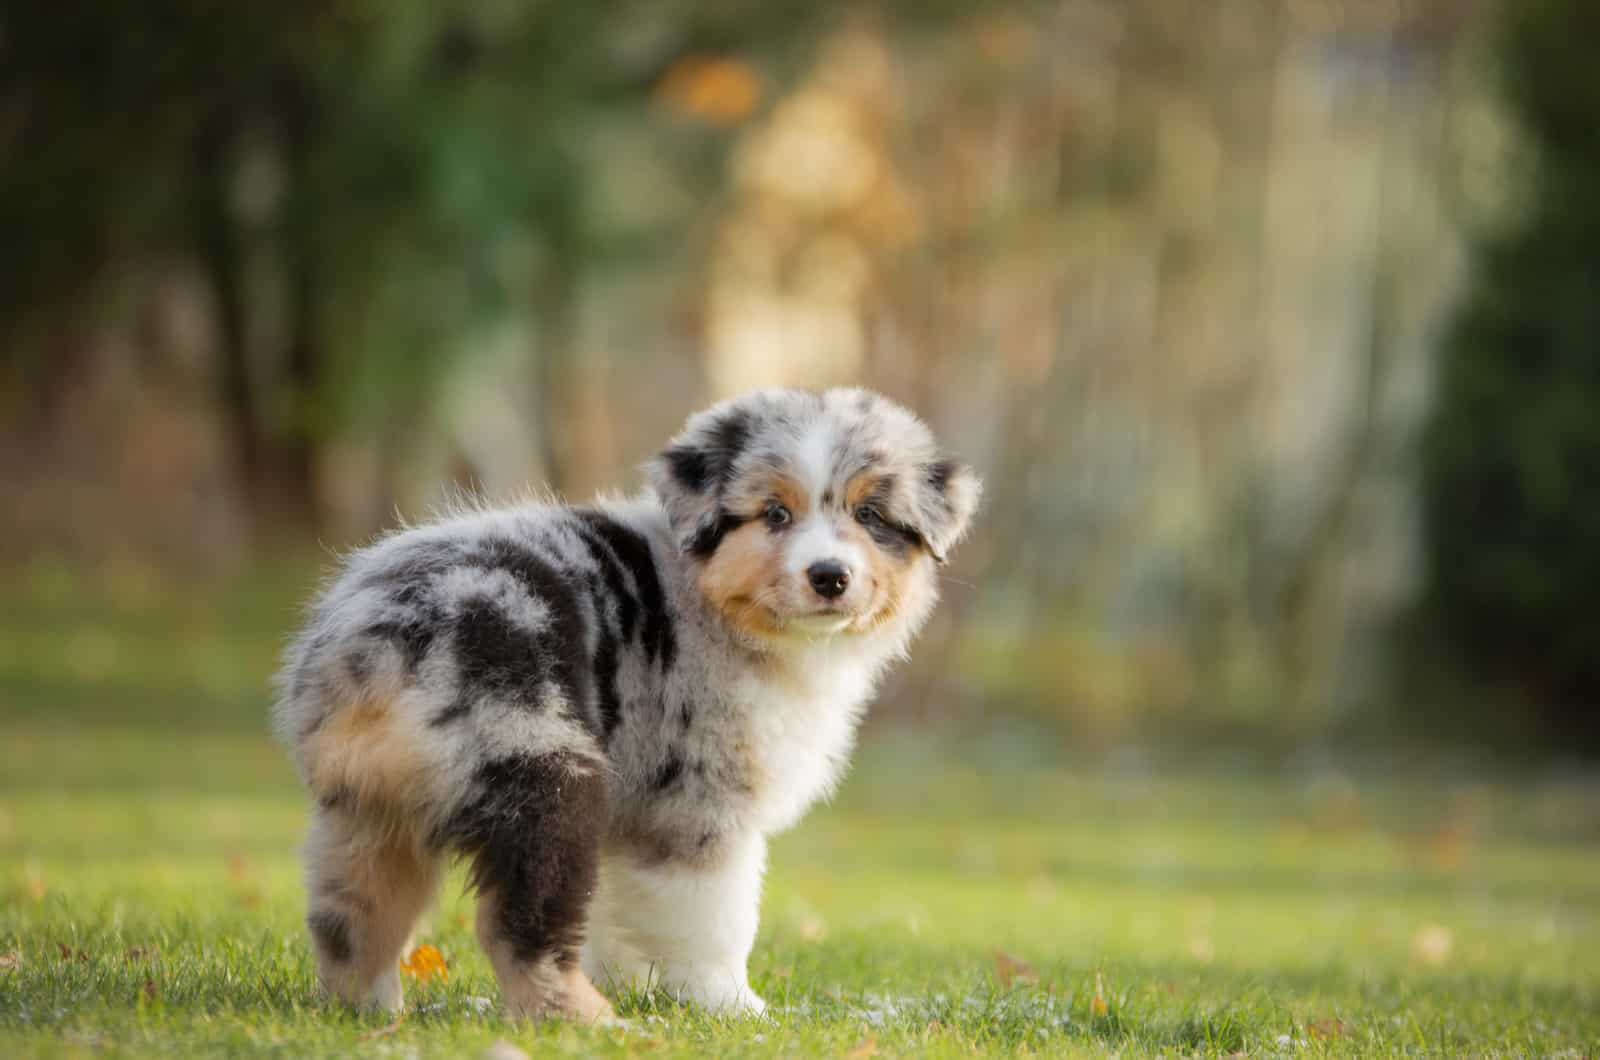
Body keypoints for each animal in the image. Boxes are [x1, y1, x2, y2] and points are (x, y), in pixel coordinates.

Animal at [273, 389, 972, 1024]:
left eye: (870, 514)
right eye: (775, 513)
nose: (829, 576)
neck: (716, 602)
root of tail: (377, 634)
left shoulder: (634, 815)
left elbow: (623, 910)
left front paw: (641, 982)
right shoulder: (699, 800)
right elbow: (716, 915)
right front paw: (730, 1006)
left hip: (367, 810)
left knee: (351, 919)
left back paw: (371, 1013)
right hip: (540, 768)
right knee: (518, 923)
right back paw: (586, 1018)